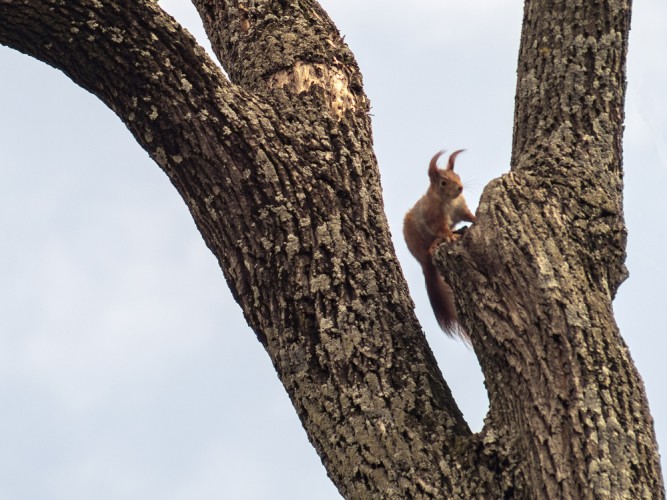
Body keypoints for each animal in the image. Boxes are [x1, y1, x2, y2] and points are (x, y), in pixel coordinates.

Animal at [404, 150, 478, 342]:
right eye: (443, 183)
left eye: (458, 176)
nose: (460, 188)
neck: (449, 201)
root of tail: (421, 262)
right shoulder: (435, 218)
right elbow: (443, 229)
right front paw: (450, 236)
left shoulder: (461, 208)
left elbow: (469, 216)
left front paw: (475, 220)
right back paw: (435, 244)